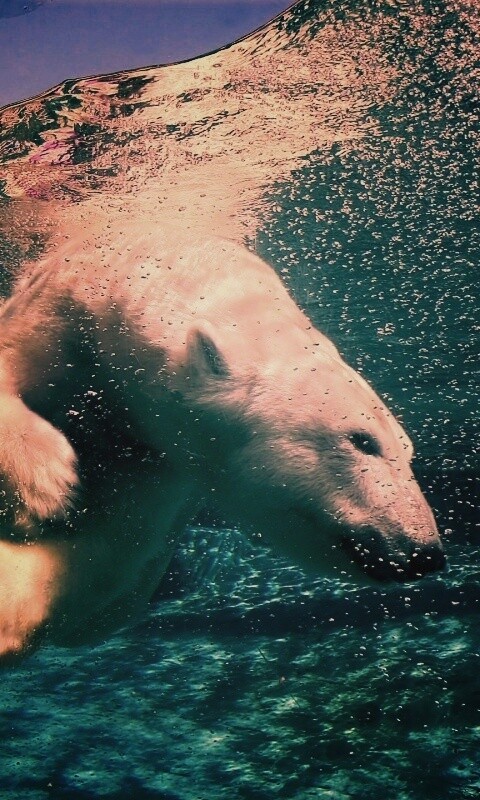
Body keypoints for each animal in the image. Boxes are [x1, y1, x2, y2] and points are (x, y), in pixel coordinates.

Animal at [0, 225, 445, 660]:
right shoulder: (61, 308)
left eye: (407, 452)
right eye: (362, 440)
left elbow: (109, 560)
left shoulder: (164, 467)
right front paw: (45, 482)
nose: (426, 553)